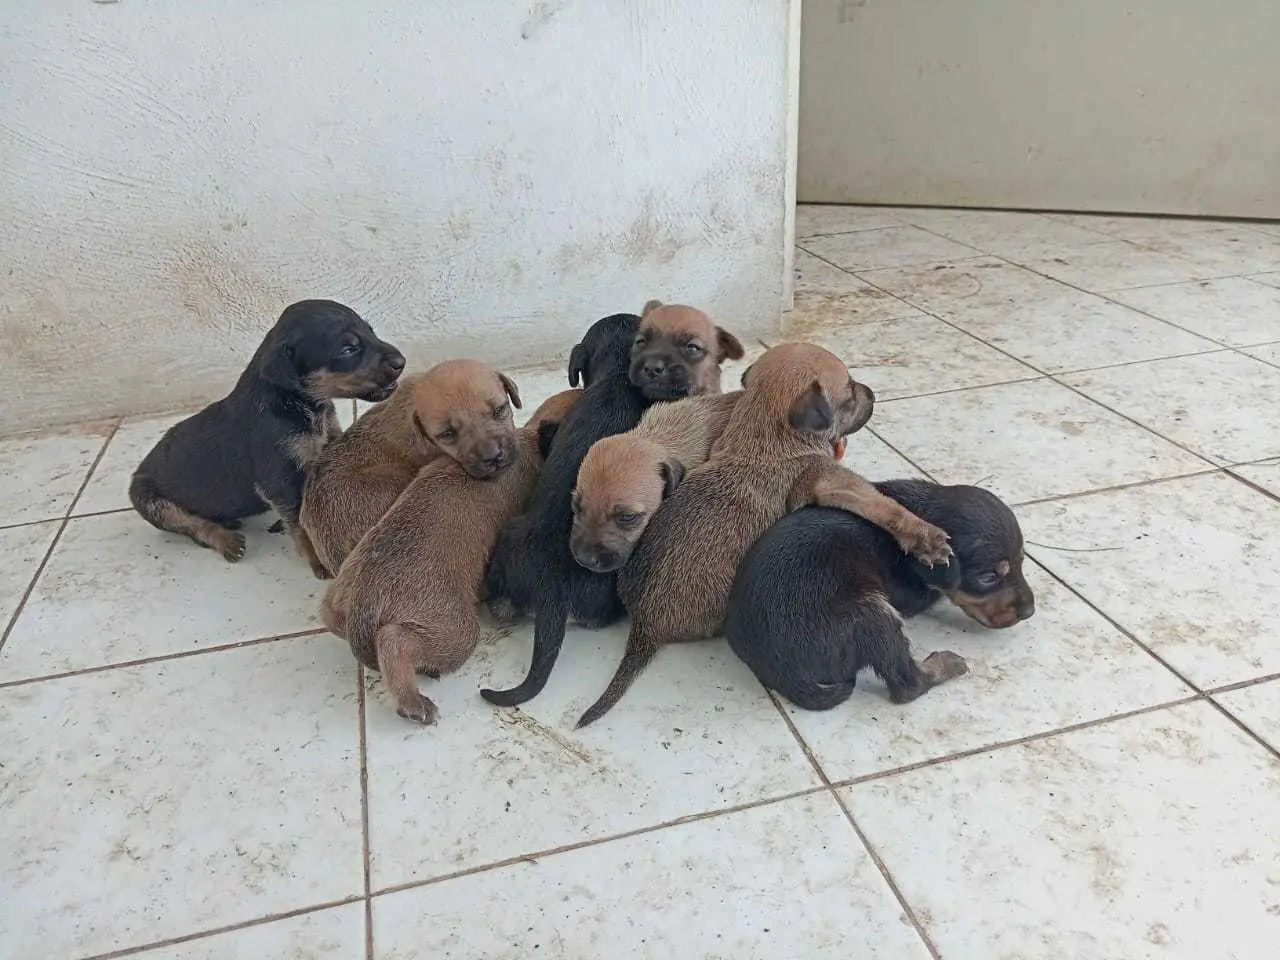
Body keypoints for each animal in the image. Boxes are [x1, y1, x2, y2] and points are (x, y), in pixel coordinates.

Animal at [129, 299, 399, 578]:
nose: (401, 361)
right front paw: (317, 560)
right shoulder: (280, 480)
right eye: (348, 349)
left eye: (371, 331)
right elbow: (300, 525)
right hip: (150, 502)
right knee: (195, 527)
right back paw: (227, 541)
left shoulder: (330, 444)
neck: (297, 402)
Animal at [320, 386, 581, 727]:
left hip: (342, 590)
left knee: (330, 615)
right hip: (456, 630)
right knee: (394, 641)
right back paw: (413, 702)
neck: (530, 439)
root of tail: (365, 601)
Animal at [727, 481, 1034, 716]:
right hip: (873, 612)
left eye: (1021, 562)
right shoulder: (908, 595)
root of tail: (781, 670)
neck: (923, 512)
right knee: (907, 683)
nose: (1029, 611)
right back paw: (944, 664)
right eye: (988, 577)